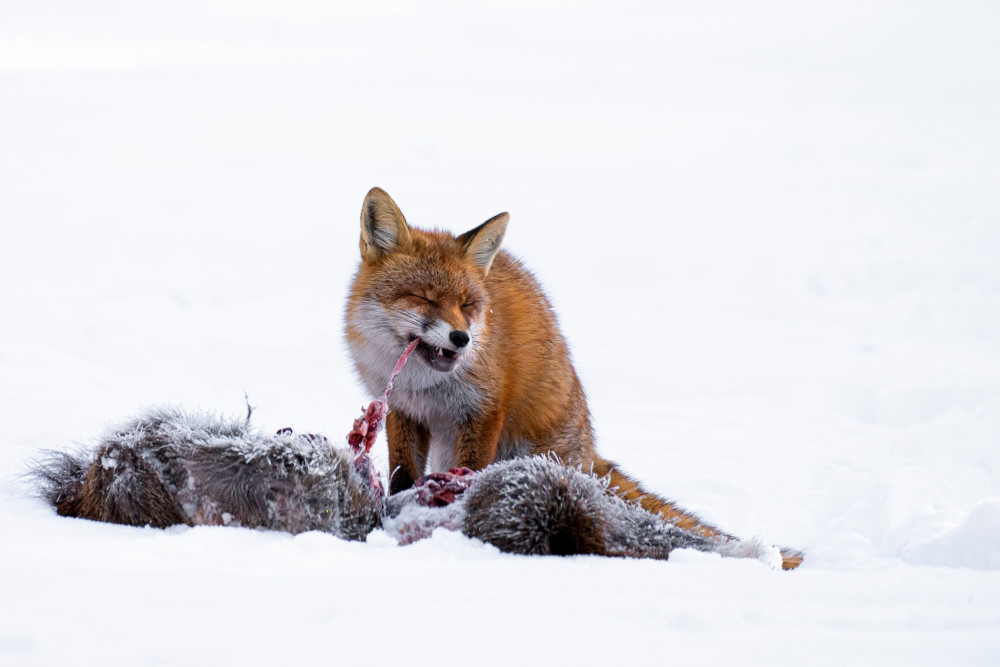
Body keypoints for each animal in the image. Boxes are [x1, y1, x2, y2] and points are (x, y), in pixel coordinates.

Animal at [346, 187, 804, 568]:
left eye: (468, 305)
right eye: (423, 298)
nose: (462, 338)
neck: (425, 388)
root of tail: (588, 449)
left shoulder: (482, 410)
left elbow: (469, 469)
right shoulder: (403, 411)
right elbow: (402, 475)